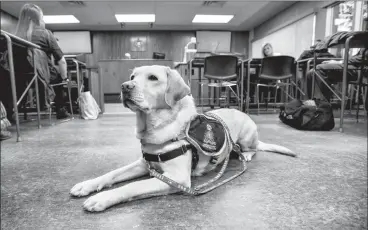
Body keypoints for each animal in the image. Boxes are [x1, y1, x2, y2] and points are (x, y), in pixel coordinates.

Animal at [69, 64, 296, 212]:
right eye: (132, 77)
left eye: (153, 78)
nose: (125, 86)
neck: (157, 126)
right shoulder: (144, 164)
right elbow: (113, 174)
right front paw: (88, 185)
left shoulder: (177, 179)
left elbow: (132, 186)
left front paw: (102, 197)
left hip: (248, 136)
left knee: (253, 148)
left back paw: (246, 155)